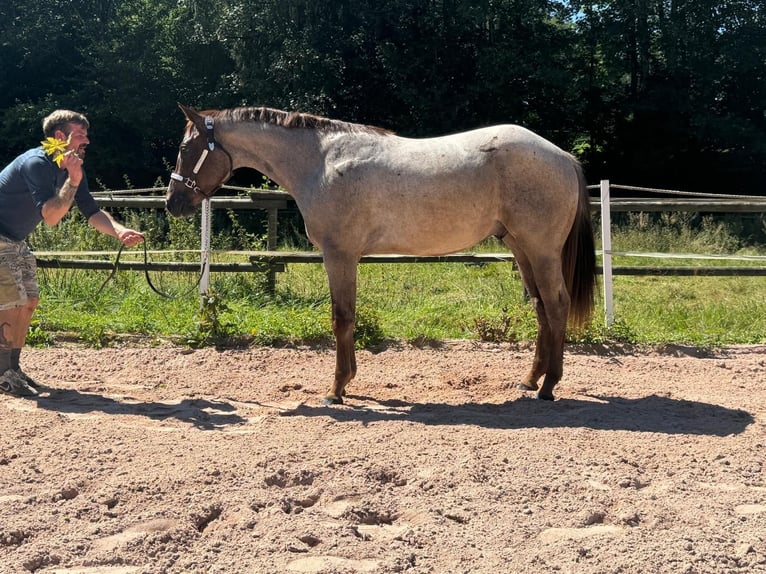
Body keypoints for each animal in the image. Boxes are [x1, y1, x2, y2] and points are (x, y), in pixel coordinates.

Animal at [166, 106, 600, 404]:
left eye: (186, 148)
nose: (173, 202)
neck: (321, 162)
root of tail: (563, 157)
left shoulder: (339, 255)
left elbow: (342, 318)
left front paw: (337, 389)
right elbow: (347, 318)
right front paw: (346, 382)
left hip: (542, 250)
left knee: (556, 305)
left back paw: (548, 386)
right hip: (521, 249)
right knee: (541, 307)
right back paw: (529, 380)